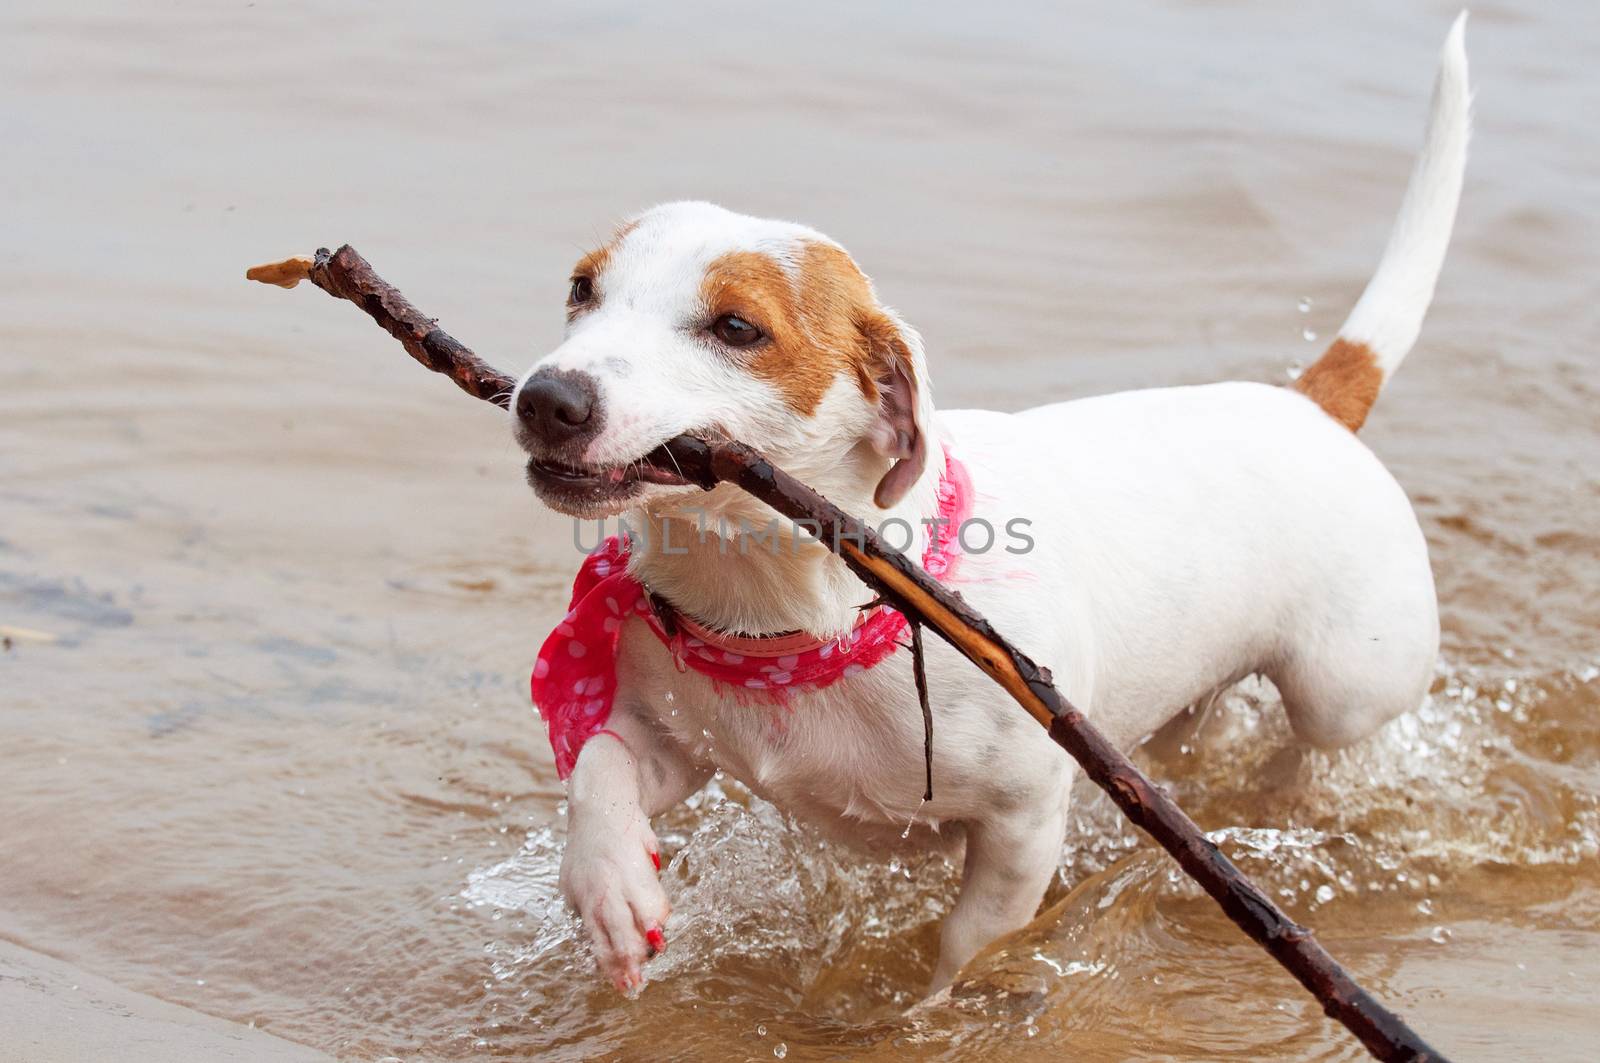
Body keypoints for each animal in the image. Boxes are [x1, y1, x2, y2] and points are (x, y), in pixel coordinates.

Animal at [505, 18, 1465, 998]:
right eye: (581, 287)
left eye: (738, 327)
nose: (547, 399)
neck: (793, 614)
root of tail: (1311, 402)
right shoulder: (672, 737)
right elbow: (598, 766)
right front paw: (611, 887)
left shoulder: (1023, 819)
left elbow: (973, 943)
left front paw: (931, 1010)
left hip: (1345, 687)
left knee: (1323, 737)